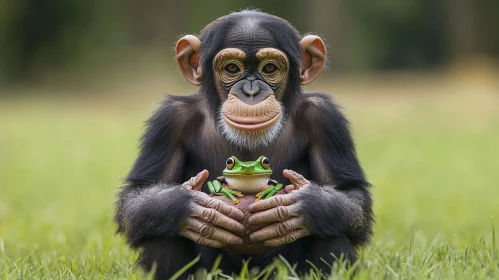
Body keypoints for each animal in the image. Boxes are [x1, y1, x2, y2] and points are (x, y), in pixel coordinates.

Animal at [115, 9, 374, 278]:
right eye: (232, 68)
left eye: (269, 68)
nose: (251, 91)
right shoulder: (169, 121)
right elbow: (139, 194)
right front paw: (188, 203)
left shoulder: (325, 118)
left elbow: (349, 192)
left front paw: (305, 203)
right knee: (163, 230)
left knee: (332, 232)